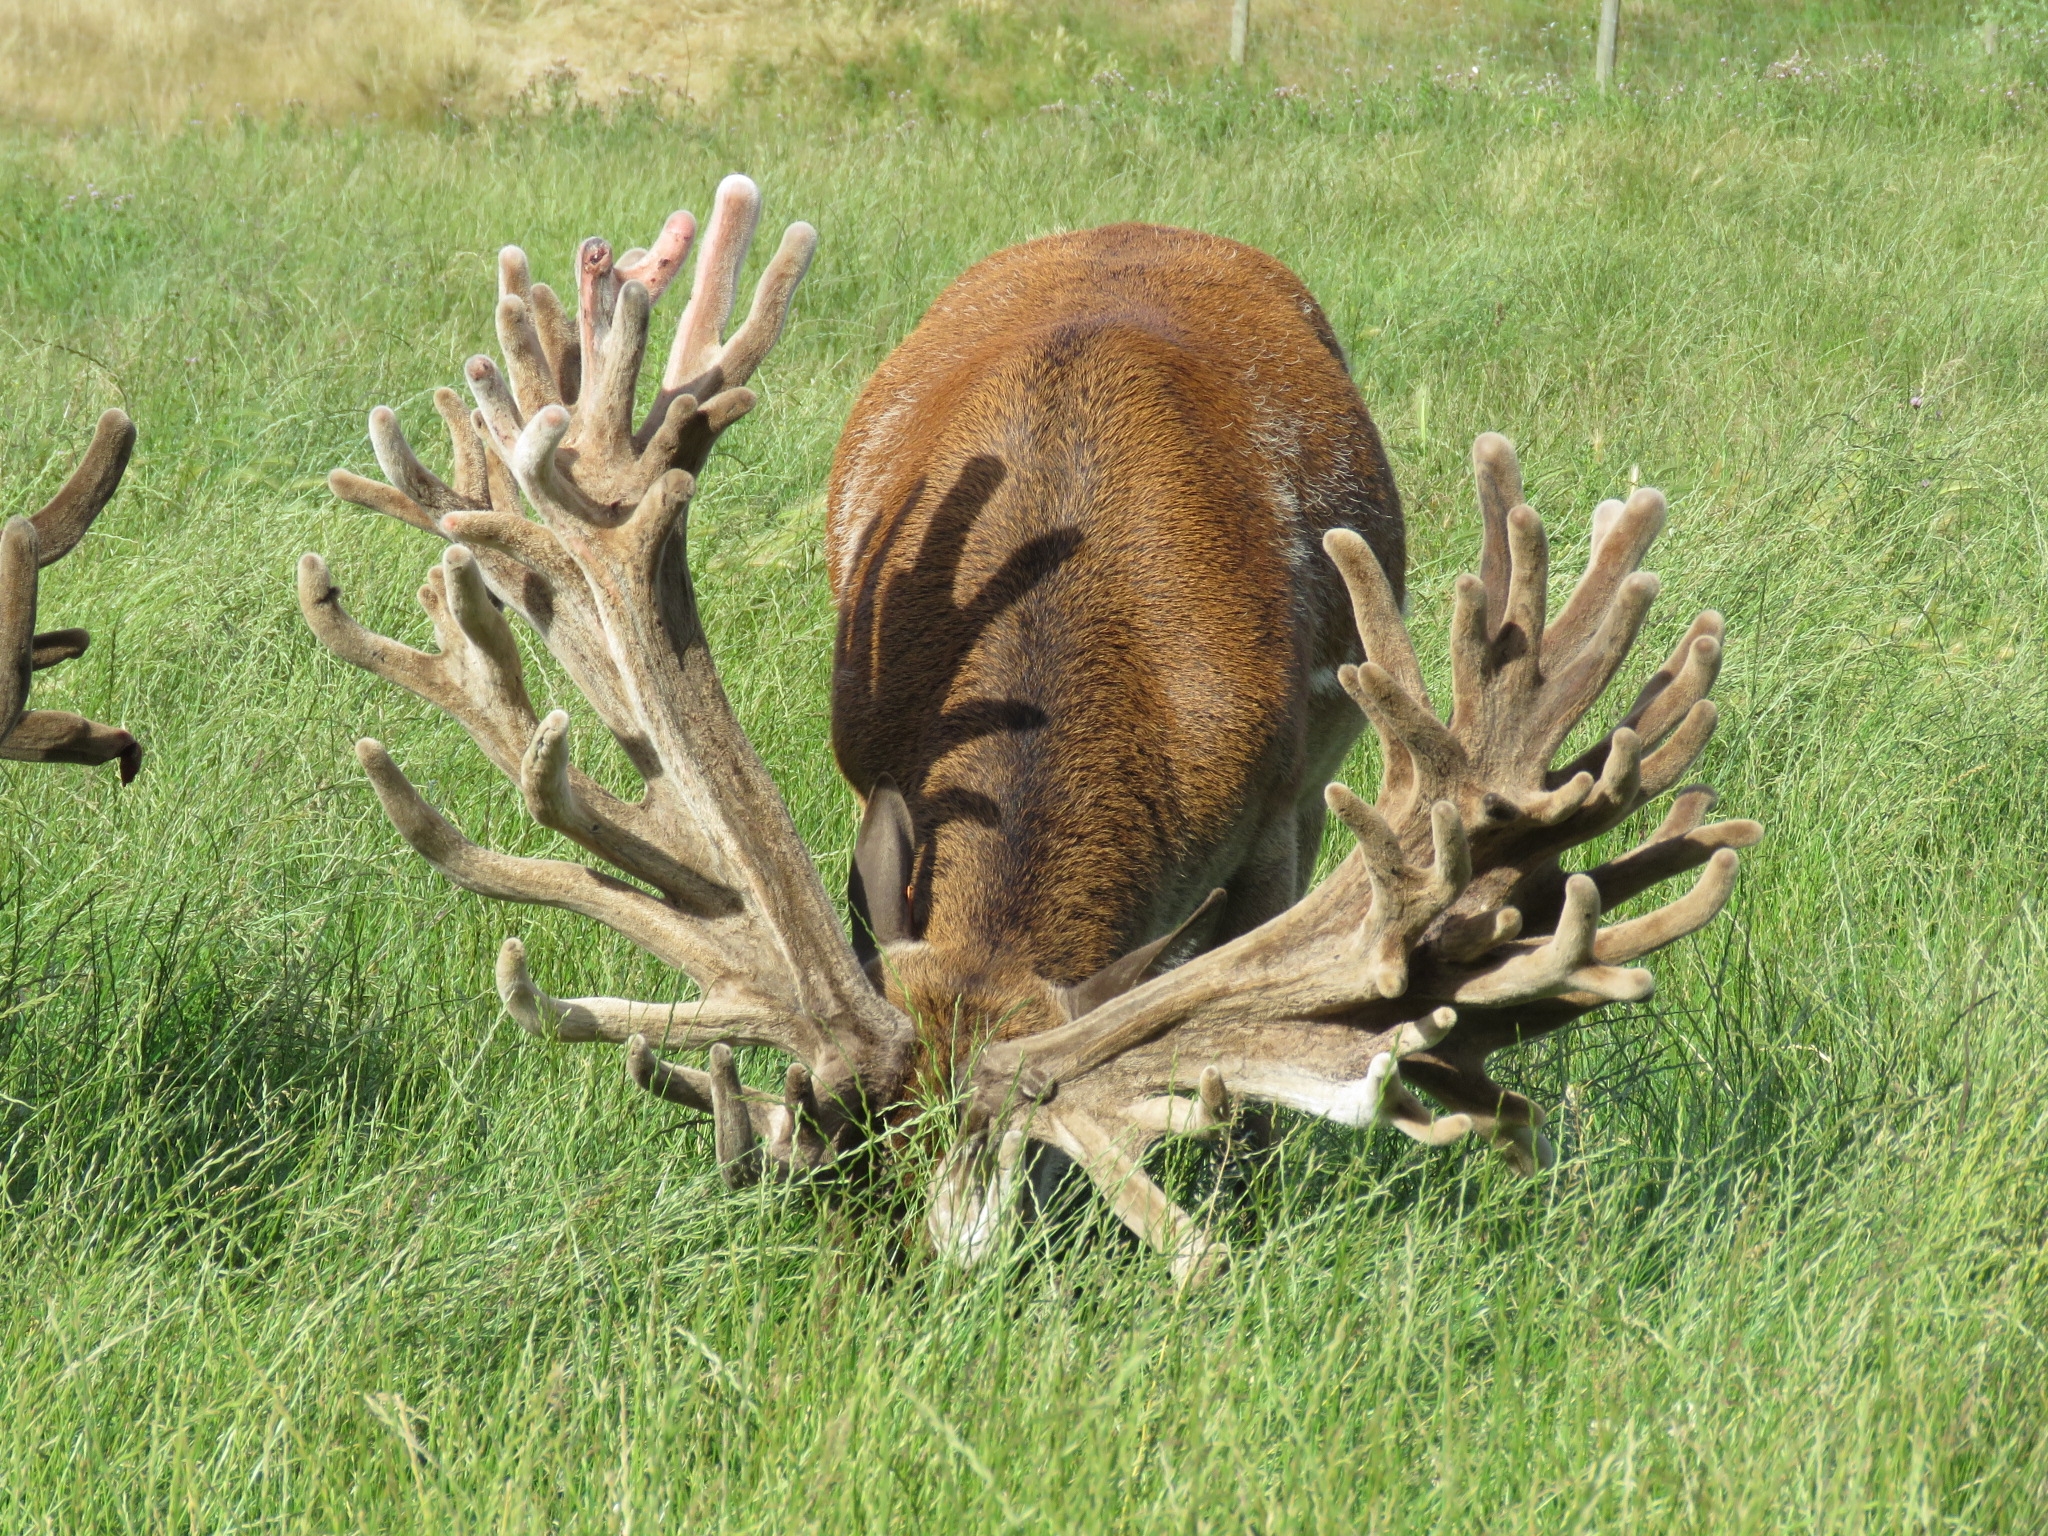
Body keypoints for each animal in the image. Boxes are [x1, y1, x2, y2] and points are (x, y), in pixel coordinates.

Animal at [299, 175, 1762, 1285]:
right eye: (844, 1195)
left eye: (975, 1250)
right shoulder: (876, 780)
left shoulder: (1278, 806)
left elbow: (1249, 1114)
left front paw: (1241, 1210)